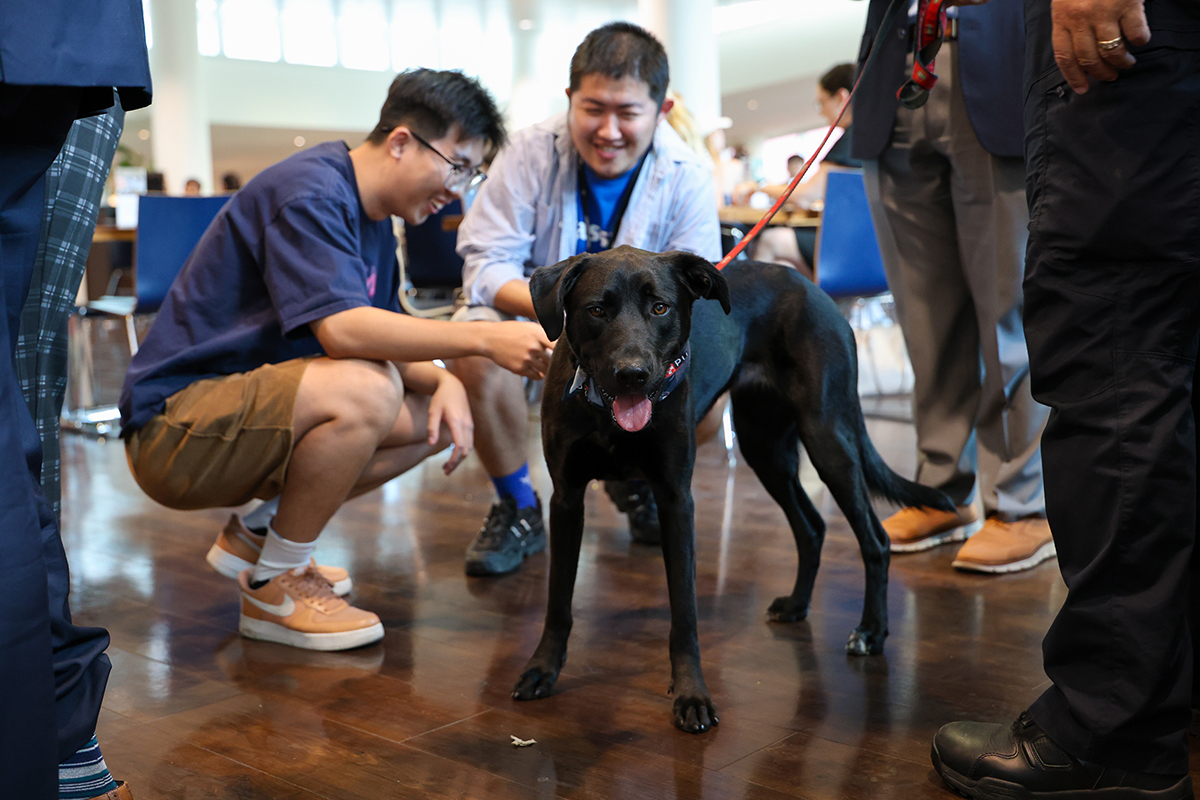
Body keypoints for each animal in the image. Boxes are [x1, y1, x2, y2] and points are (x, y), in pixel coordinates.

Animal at [511, 247, 950, 734]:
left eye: (660, 308)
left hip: (828, 437)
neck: (609, 416)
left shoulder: (675, 499)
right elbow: (558, 598)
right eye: (596, 311)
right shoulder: (566, 498)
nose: (633, 375)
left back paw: (871, 630)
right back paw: (797, 604)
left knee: (875, 538)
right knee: (812, 526)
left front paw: (691, 694)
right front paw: (543, 669)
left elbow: (684, 612)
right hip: (765, 448)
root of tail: (811, 287)